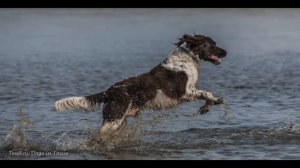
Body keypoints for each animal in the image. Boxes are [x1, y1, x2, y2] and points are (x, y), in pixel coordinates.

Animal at [54, 34, 227, 135]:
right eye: (212, 44)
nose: (226, 52)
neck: (187, 58)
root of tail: (109, 91)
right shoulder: (185, 92)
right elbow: (206, 93)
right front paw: (213, 103)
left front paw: (208, 106)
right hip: (114, 118)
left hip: (121, 118)